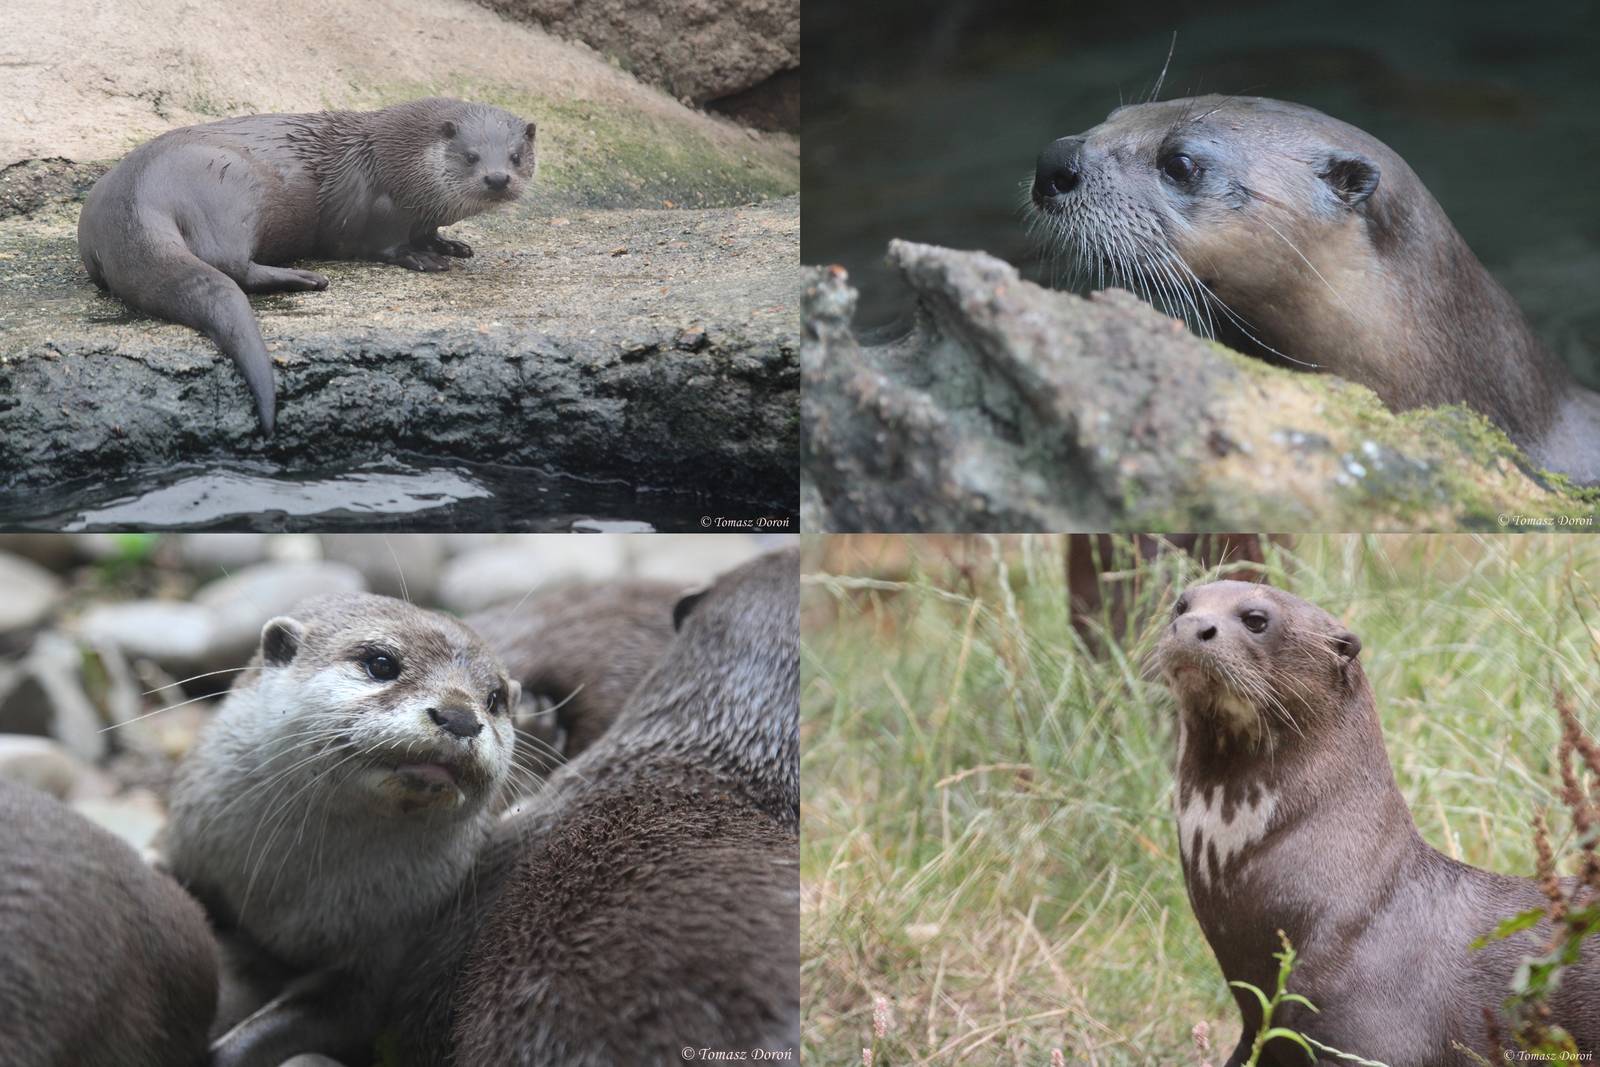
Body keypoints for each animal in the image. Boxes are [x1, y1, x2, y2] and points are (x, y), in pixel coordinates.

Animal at [78, 98, 538, 434]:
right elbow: (384, 245)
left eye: (516, 156)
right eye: (470, 156)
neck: (398, 162)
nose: (497, 178)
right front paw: (422, 257)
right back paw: (307, 278)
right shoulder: (378, 211)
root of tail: (134, 195)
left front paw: (451, 244)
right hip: (229, 187)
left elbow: (430, 232)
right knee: (227, 263)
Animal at [162, 592, 520, 1067]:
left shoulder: (388, 942)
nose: (459, 716)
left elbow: (335, 1015)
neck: (284, 891)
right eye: (381, 663)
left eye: (494, 698)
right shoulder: (186, 840)